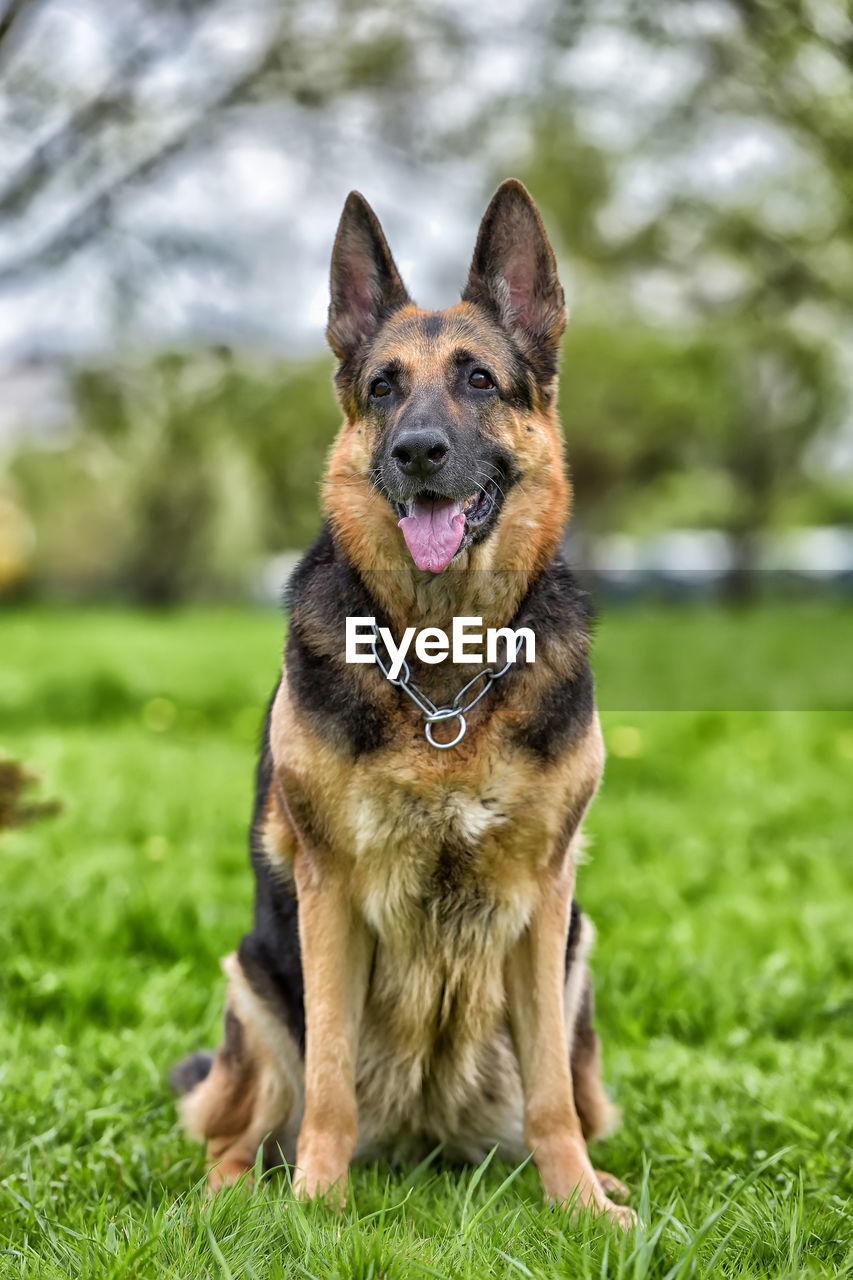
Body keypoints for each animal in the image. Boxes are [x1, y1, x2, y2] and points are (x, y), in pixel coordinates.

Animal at [169, 183, 630, 1228]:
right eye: (382, 388)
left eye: (478, 381)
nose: (419, 452)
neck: (443, 675)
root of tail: (424, 1139)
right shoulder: (330, 893)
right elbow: (331, 1079)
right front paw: (315, 1207)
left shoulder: (543, 898)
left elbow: (550, 1095)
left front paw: (579, 1205)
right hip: (254, 983)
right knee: (236, 1132)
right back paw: (233, 1197)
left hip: (576, 961)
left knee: (570, 1094)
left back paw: (601, 1176)